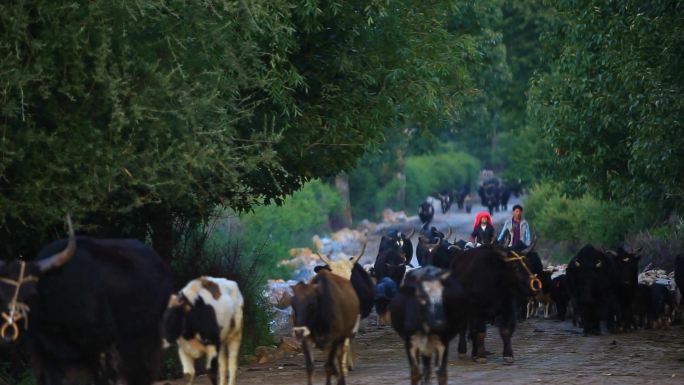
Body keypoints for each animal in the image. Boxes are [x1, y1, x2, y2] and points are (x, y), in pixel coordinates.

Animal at [0, 214, 174, 382]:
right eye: (0, 294)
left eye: (31, 294)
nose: (7, 335)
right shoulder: (43, 357)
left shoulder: (101, 349)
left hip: (145, 344)